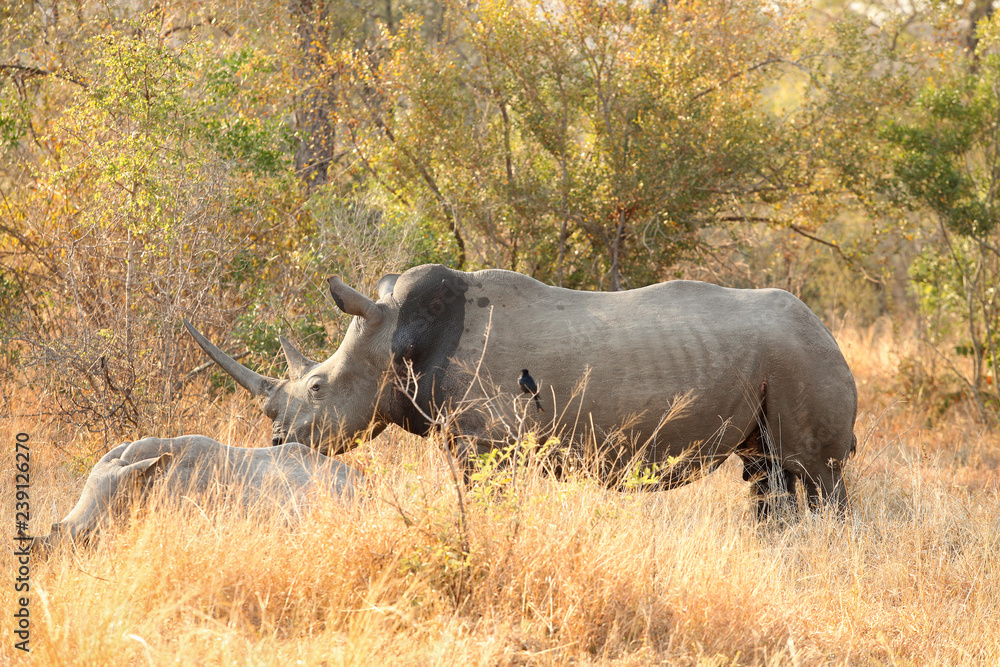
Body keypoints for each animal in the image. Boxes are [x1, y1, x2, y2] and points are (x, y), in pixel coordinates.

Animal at [186, 264, 858, 517]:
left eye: (319, 387)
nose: (278, 441)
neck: (398, 336)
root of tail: (828, 330)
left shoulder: (489, 441)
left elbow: (483, 502)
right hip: (782, 359)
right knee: (767, 471)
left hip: (805, 357)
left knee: (815, 472)